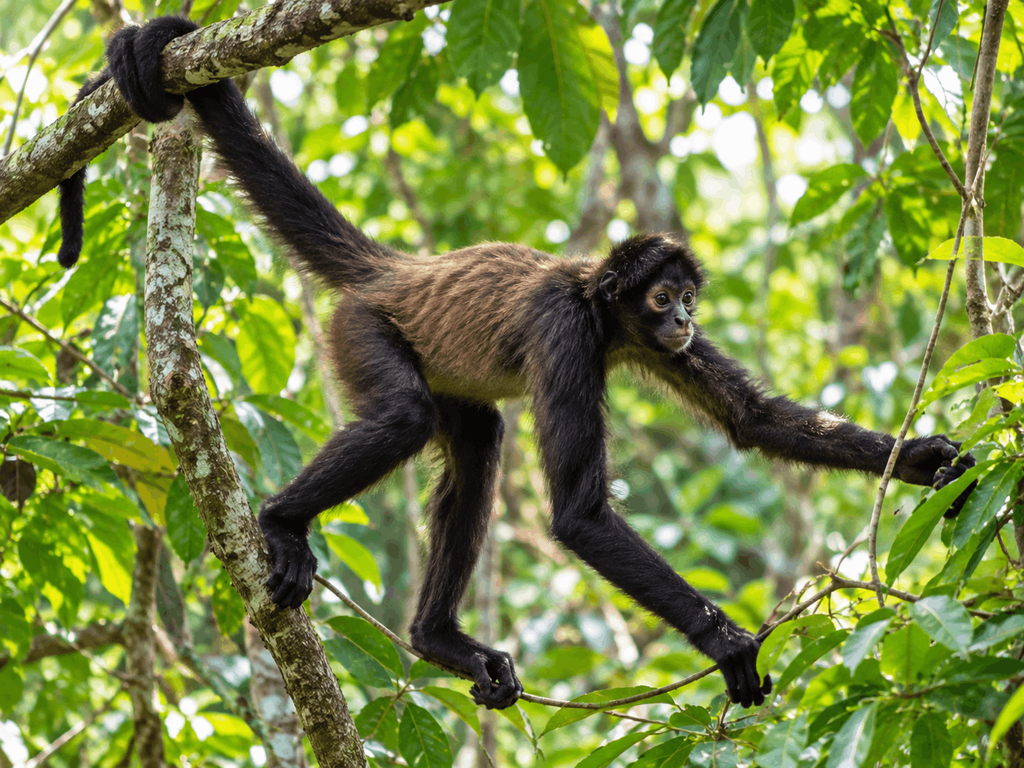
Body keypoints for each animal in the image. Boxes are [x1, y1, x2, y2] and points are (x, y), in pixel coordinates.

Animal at [56, 17, 977, 710]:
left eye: (689, 299)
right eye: (663, 297)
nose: (684, 319)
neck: (602, 308)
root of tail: (395, 271)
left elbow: (754, 422)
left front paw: (930, 459)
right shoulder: (566, 331)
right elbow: (577, 513)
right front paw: (724, 642)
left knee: (476, 441)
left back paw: (436, 640)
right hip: (361, 328)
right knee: (405, 417)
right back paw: (284, 523)